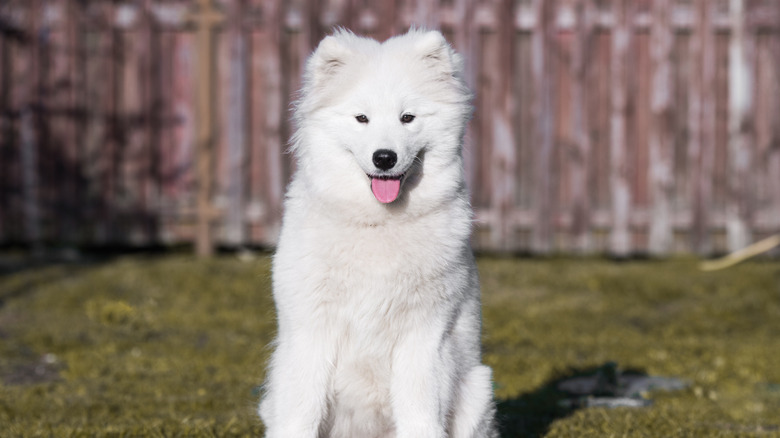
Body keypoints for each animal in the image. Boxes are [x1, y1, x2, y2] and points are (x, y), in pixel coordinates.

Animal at [258, 29, 496, 436]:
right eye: (362, 118)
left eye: (407, 117)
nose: (384, 158)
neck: (378, 223)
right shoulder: (310, 330)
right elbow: (301, 411)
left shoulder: (425, 335)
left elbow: (419, 413)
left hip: (478, 389)